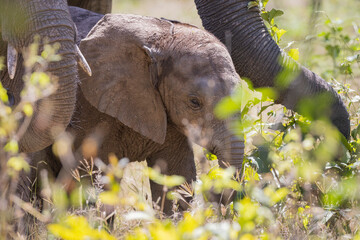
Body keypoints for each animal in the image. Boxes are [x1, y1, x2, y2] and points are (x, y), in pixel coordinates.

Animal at [26, 10, 245, 215]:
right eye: (194, 102)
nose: (213, 188)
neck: (160, 42)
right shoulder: (89, 105)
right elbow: (91, 175)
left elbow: (174, 174)